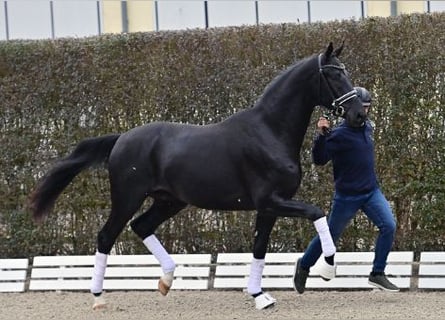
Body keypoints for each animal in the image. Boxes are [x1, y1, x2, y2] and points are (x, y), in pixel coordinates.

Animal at [29, 42, 366, 310]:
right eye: (333, 74)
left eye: (345, 71)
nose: (359, 114)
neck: (269, 131)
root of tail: (122, 138)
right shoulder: (272, 201)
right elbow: (317, 212)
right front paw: (327, 269)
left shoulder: (269, 207)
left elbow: (260, 248)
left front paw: (260, 296)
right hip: (127, 198)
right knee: (106, 236)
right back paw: (99, 297)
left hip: (169, 201)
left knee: (141, 226)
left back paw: (166, 281)